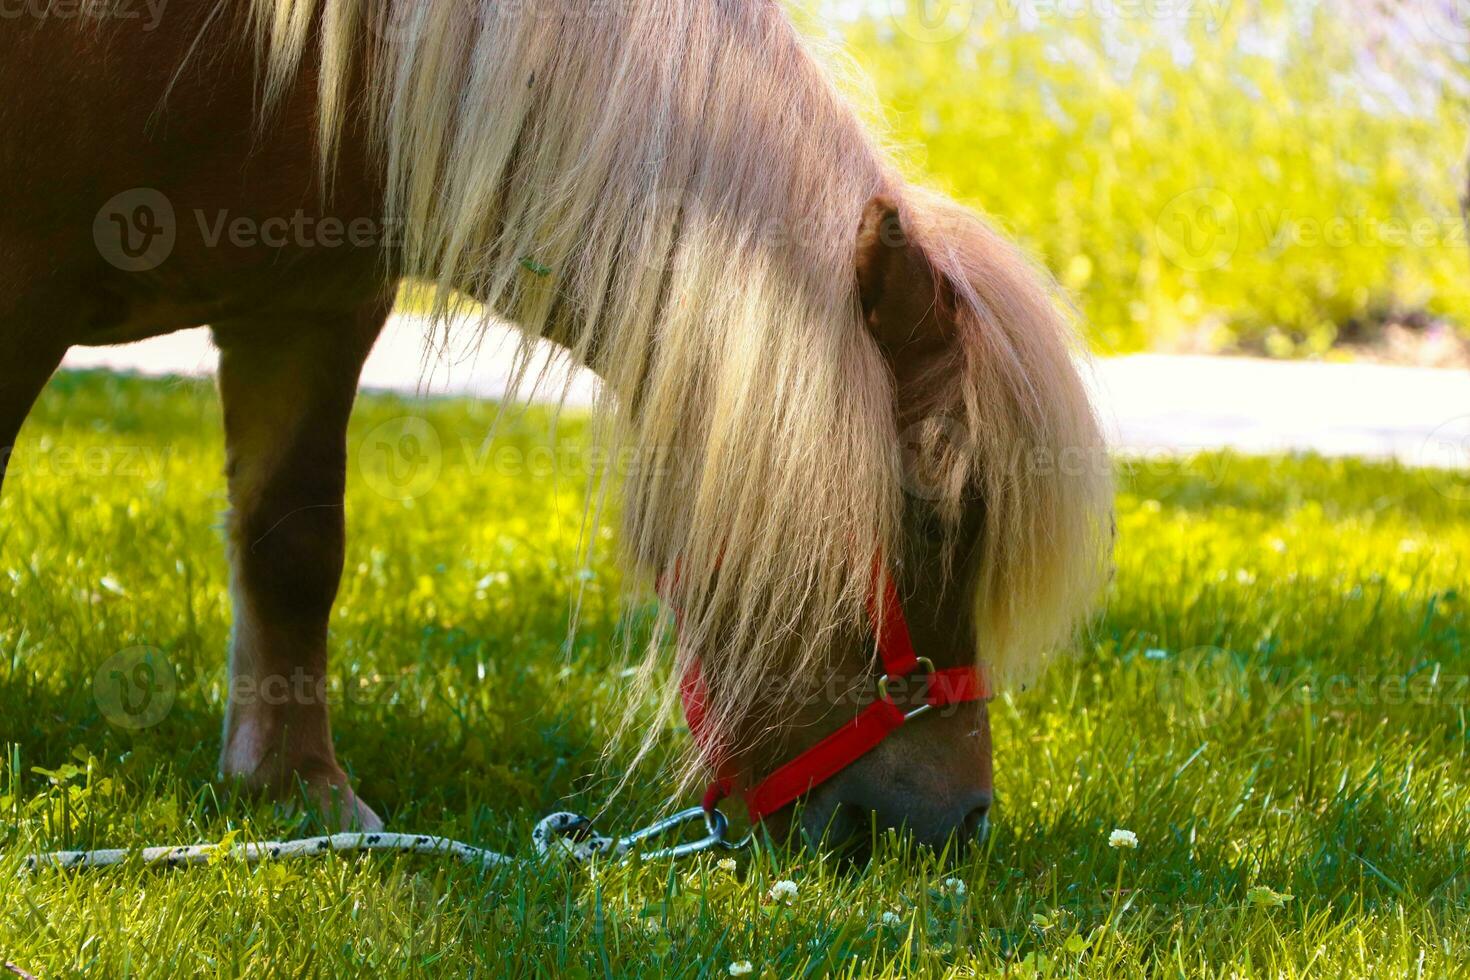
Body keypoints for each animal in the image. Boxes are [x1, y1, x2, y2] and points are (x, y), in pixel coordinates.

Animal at [0, 0, 1105, 846]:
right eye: (938, 515)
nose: (960, 823)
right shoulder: (26, 299)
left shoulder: (311, 310)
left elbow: (294, 549)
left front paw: (298, 790)